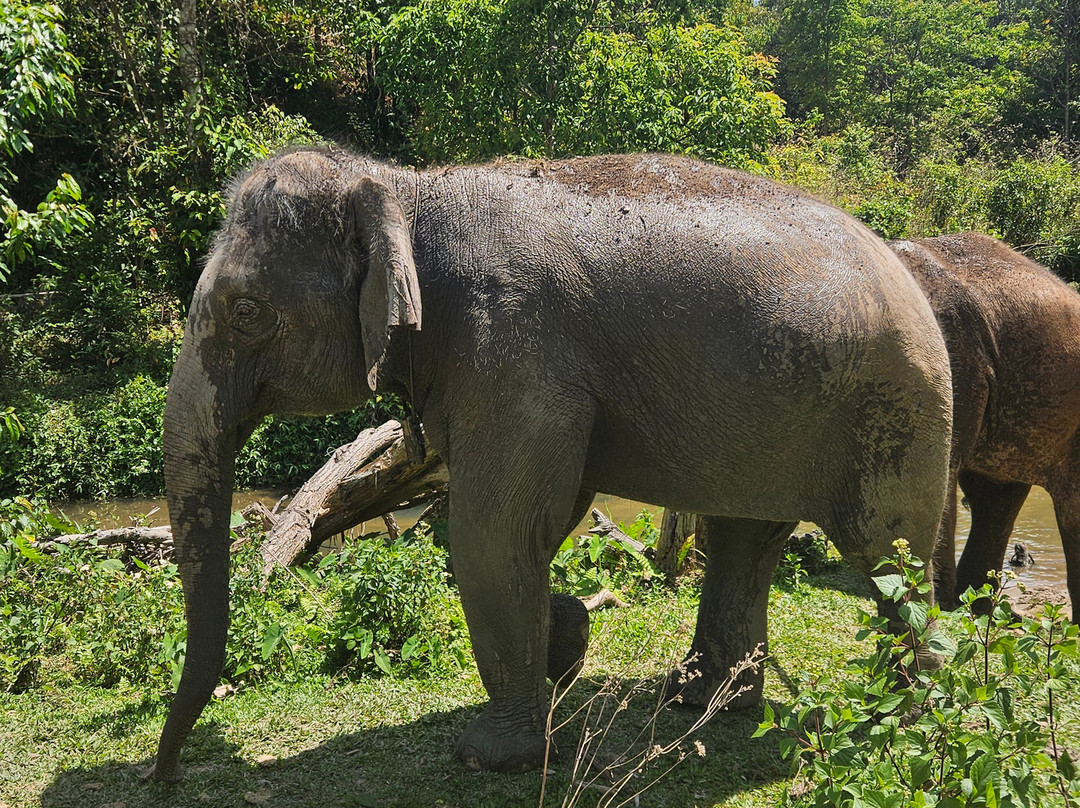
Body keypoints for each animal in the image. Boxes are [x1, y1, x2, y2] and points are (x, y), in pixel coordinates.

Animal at [147, 146, 952, 782]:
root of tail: (908, 271)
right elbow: (547, 520)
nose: (165, 774)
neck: (406, 188)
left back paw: (901, 717)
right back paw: (702, 698)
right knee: (743, 537)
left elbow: (492, 534)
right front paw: (565, 642)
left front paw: (487, 755)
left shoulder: (514, 351)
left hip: (894, 409)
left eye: (246, 313)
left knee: (886, 554)